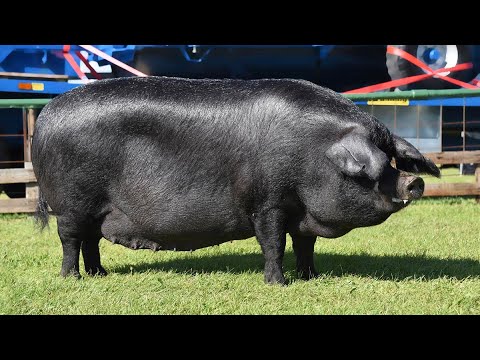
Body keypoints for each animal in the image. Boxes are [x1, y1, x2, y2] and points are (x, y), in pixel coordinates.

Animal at [31, 76, 440, 284]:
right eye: (377, 168)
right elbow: (274, 244)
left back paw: (99, 275)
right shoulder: (267, 203)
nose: (413, 182)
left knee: (91, 241)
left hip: (95, 209)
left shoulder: (301, 210)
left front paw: (310, 277)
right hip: (71, 202)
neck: (312, 155)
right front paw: (278, 284)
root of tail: (45, 117)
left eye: (392, 158)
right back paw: (72, 280)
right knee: (70, 240)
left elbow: (305, 245)